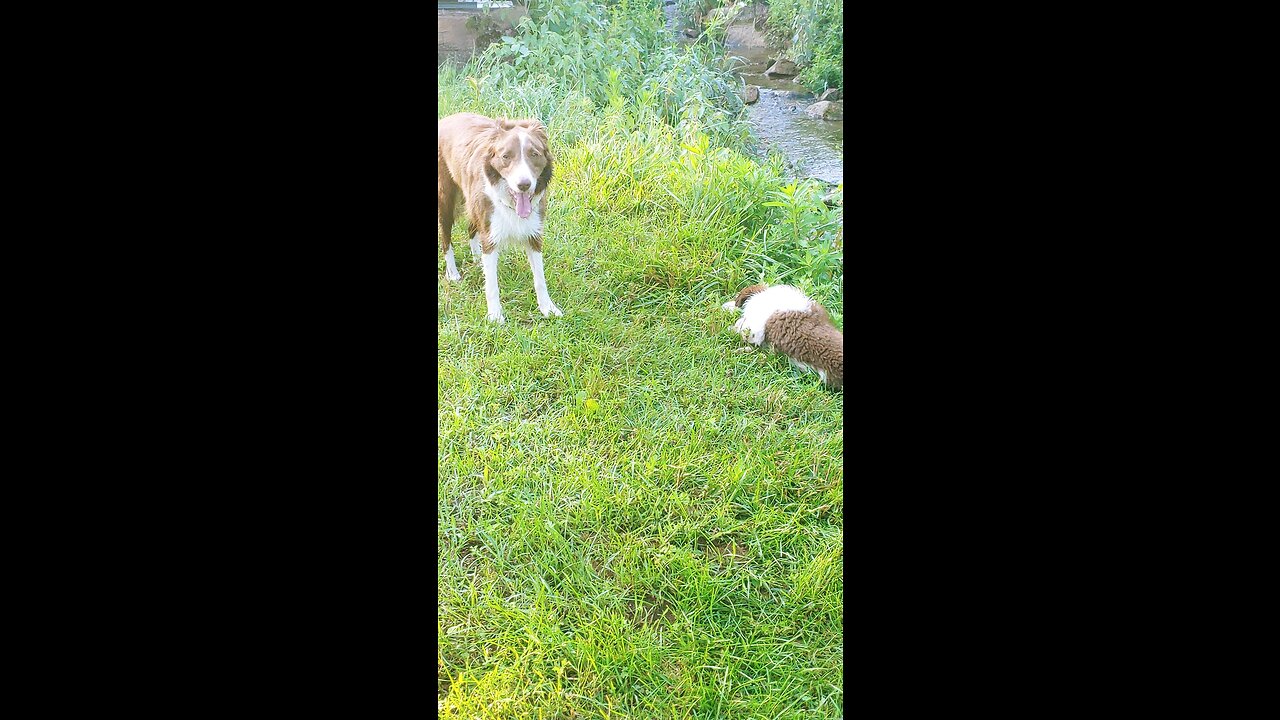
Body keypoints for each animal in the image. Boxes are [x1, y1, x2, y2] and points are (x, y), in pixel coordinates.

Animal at [440, 110, 560, 322]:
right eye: (506, 156)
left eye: (534, 154)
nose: (524, 185)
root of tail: (446, 118)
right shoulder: (491, 234)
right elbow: (492, 285)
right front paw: (495, 316)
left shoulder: (534, 234)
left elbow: (540, 278)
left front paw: (547, 308)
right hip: (446, 201)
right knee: (446, 240)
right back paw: (452, 273)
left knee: (472, 229)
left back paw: (476, 257)